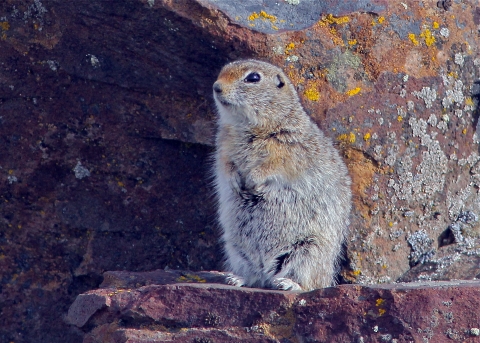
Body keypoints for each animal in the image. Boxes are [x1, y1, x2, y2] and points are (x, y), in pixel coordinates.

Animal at [212, 60, 350, 292]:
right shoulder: (224, 149)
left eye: (253, 78)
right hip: (236, 249)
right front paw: (235, 182)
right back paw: (235, 278)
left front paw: (253, 180)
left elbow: (271, 167)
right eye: (222, 71)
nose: (216, 87)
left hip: (309, 251)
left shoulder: (287, 153)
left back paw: (287, 283)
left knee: (310, 283)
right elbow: (226, 166)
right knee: (253, 277)